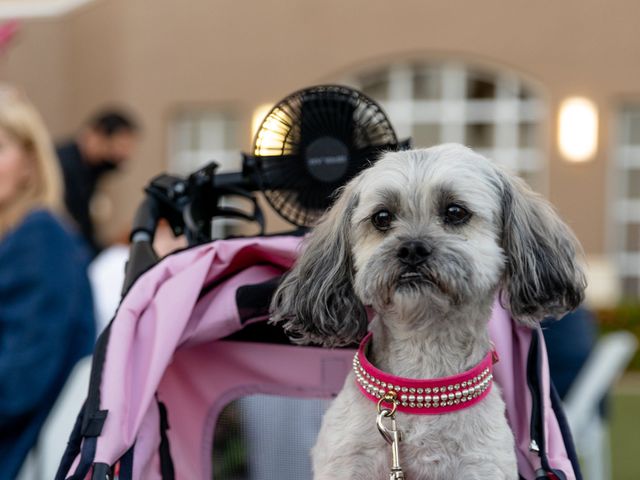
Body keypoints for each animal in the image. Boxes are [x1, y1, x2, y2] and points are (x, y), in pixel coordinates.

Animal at [268, 144, 584, 478]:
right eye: (382, 217)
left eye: (455, 212)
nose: (411, 249)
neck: (421, 387)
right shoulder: (346, 464)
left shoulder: (481, 466)